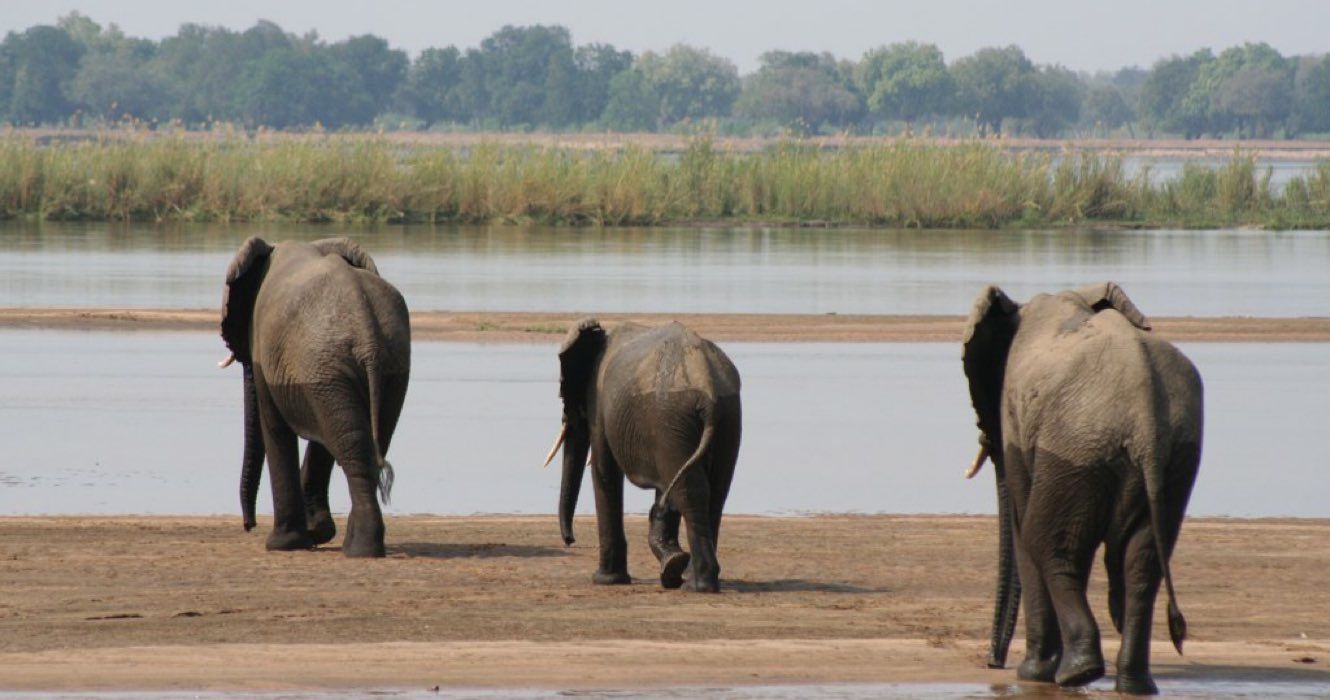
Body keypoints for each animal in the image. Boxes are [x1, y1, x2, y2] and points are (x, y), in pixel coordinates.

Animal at [218, 238, 409, 561]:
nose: (248, 526)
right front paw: (317, 533)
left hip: (327, 362)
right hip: (377, 366)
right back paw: (360, 547)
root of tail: (366, 331)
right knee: (361, 441)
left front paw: (284, 544)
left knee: (349, 444)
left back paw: (359, 549)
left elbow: (274, 428)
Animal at [545, 320, 744, 596]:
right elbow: (663, 492)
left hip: (672, 418)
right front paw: (671, 565)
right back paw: (696, 580)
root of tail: (707, 386)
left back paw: (697, 584)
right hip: (726, 416)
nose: (570, 540)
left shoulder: (599, 404)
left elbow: (604, 471)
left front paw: (606, 580)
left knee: (691, 492)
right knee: (714, 493)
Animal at [957, 282, 1207, 692]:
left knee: (1045, 541)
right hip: (1174, 460)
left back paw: (1077, 673)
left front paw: (1032, 674)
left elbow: (1022, 528)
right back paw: (1133, 685)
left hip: (1074, 446)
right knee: (1143, 563)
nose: (993, 663)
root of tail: (1145, 413)